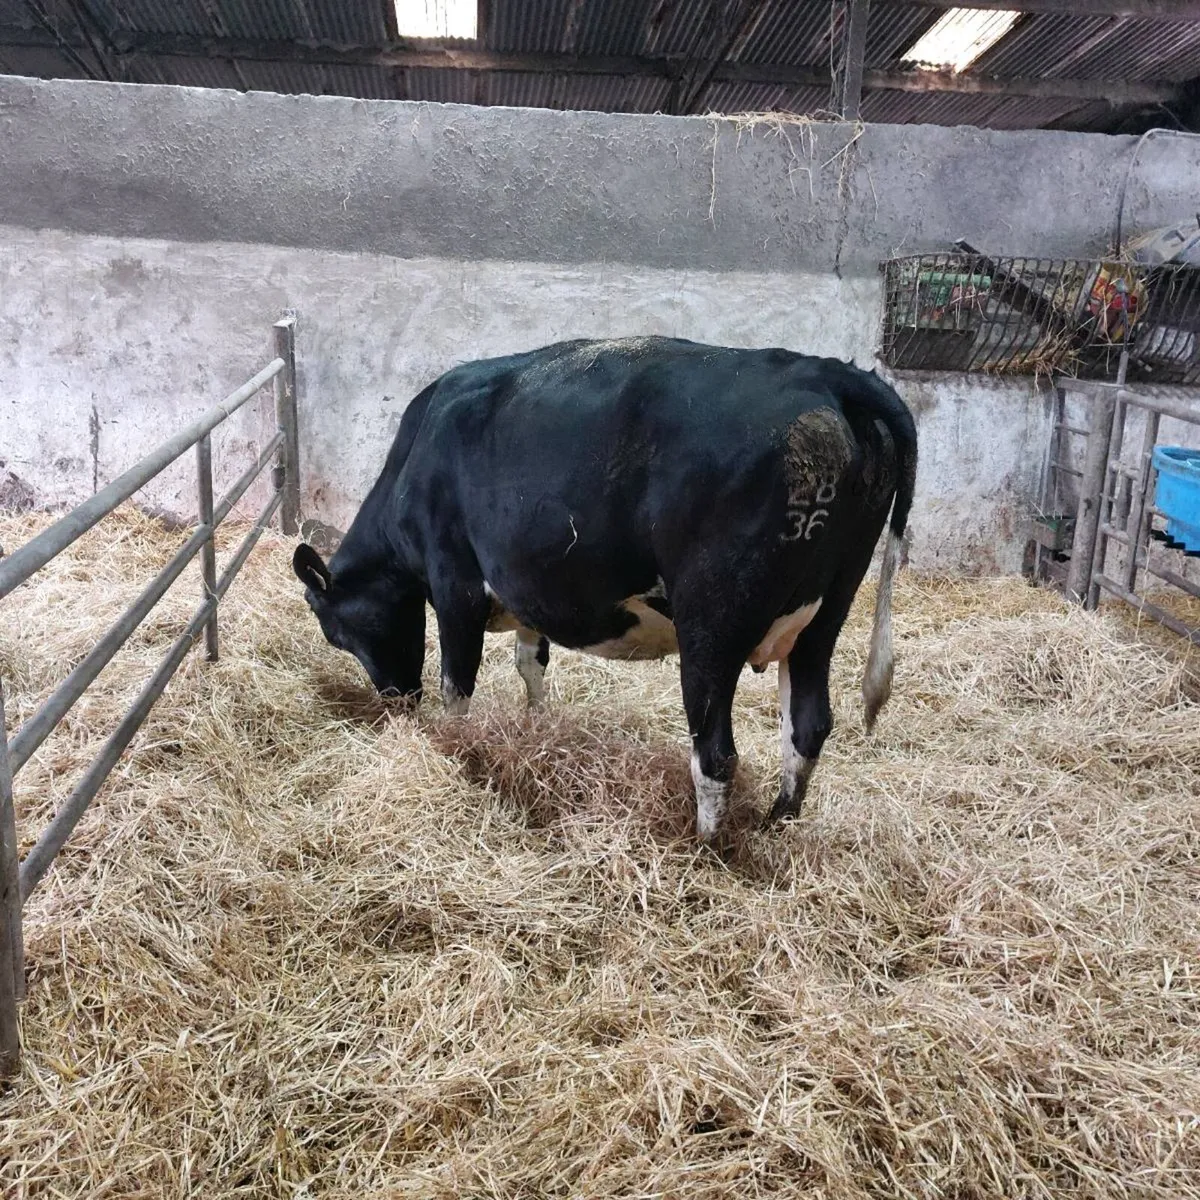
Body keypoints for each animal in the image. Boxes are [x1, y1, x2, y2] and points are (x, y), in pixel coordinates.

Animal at [293, 336, 917, 840]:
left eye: (338, 633)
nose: (397, 698)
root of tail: (824, 373)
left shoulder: (455, 583)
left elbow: (457, 685)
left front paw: (456, 749)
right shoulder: (530, 589)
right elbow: (531, 663)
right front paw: (536, 728)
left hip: (713, 623)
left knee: (716, 753)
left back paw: (705, 848)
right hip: (824, 616)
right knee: (807, 725)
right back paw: (775, 826)